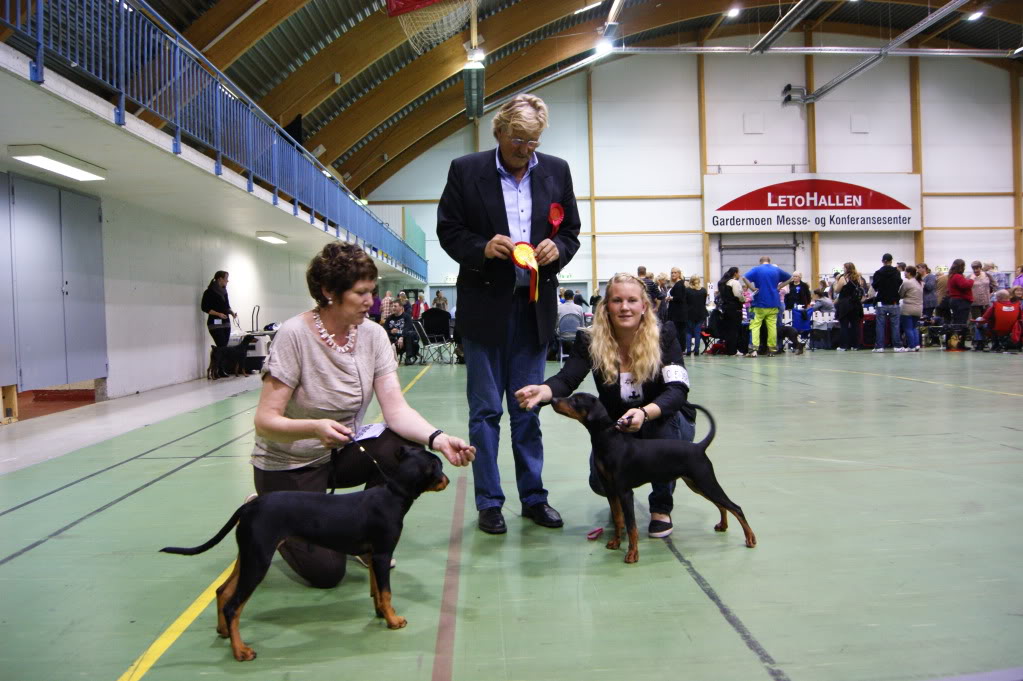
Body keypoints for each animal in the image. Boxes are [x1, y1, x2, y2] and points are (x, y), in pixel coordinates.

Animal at [159, 443, 448, 658]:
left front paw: (381, 614)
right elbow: (386, 591)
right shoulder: (382, 554)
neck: (393, 494)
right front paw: (393, 620)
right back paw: (241, 651)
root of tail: (249, 507)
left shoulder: (373, 556)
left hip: (250, 555)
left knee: (223, 591)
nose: (446, 479)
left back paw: (224, 632)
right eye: (440, 467)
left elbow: (377, 590)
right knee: (233, 606)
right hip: (259, 560)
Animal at [548, 392, 757, 560]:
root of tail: (699, 447)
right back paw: (723, 525)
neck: (608, 440)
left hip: (705, 481)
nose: (553, 399)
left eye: (575, 400)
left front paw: (632, 554)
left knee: (735, 507)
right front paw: (615, 543)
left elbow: (631, 526)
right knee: (722, 505)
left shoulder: (625, 492)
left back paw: (750, 538)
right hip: (697, 484)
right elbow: (618, 519)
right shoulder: (610, 490)